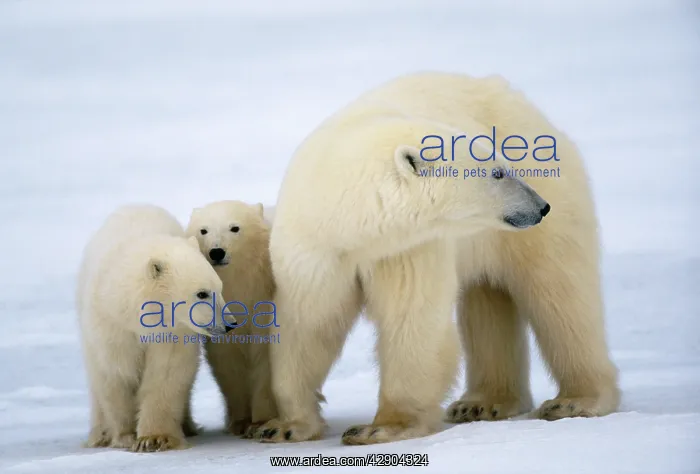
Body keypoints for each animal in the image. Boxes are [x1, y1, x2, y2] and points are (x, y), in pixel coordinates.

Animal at [76, 204, 230, 452]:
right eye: (202, 293)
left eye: (220, 288)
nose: (229, 323)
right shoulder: (112, 327)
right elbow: (117, 374)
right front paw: (126, 436)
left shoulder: (173, 332)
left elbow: (165, 374)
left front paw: (155, 438)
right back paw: (99, 435)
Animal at [186, 200, 279, 437]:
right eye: (204, 230)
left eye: (235, 228)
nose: (217, 252)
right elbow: (228, 361)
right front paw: (240, 421)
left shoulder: (263, 302)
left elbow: (264, 358)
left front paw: (261, 421)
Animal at [252, 71, 620, 446]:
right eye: (498, 173)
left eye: (504, 164)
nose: (541, 206)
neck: (349, 220)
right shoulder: (316, 251)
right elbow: (308, 325)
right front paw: (283, 426)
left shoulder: (407, 249)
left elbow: (411, 322)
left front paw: (379, 427)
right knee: (488, 299)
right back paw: (483, 403)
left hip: (545, 211)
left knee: (561, 296)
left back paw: (574, 400)